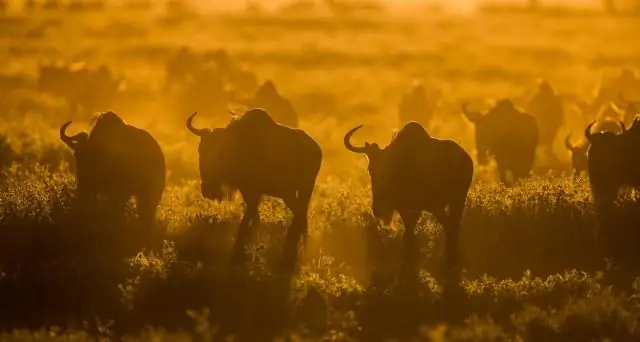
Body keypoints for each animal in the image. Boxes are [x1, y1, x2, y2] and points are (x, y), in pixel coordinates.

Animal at [344, 120, 476, 270]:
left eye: (389, 168)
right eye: (370, 169)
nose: (377, 210)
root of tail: (466, 159)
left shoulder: (417, 207)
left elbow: (409, 234)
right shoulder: (403, 208)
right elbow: (408, 233)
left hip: (449, 202)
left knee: (451, 227)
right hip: (453, 202)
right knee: (453, 226)